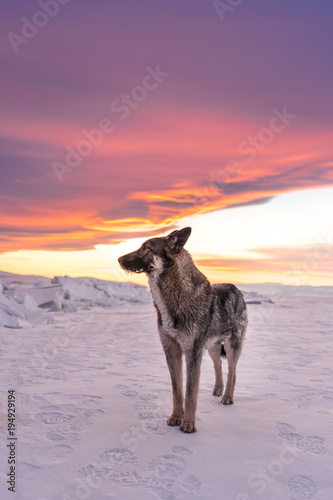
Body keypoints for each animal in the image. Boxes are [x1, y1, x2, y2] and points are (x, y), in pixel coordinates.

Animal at [117, 229, 246, 432]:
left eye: (146, 247)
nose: (119, 259)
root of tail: (236, 288)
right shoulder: (172, 351)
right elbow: (177, 390)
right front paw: (177, 417)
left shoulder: (193, 352)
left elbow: (191, 392)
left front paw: (189, 424)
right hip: (212, 347)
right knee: (218, 365)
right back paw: (218, 389)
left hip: (232, 347)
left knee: (232, 372)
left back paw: (227, 397)